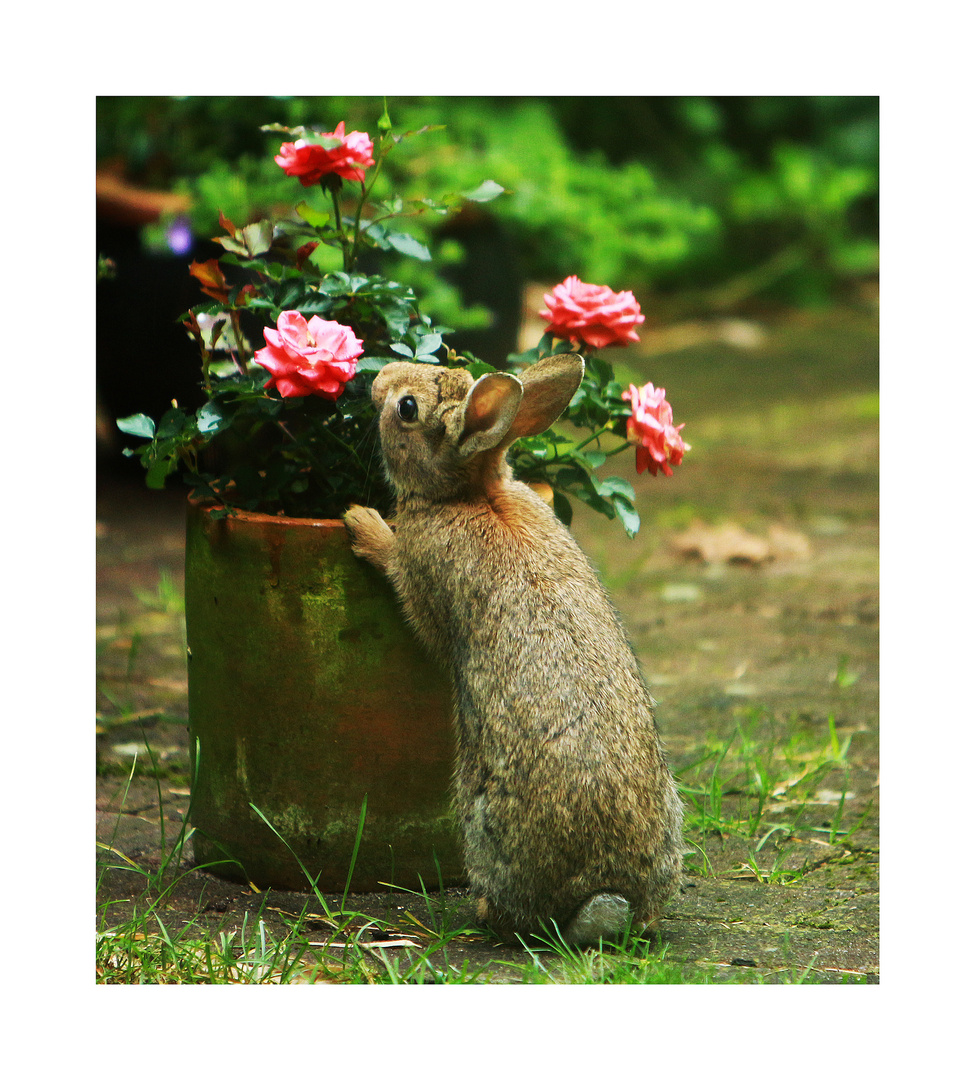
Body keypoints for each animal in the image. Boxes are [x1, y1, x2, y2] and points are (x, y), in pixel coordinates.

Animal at [345, 354, 686, 946]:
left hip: (481, 819)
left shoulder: (421, 578)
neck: (470, 494)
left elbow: (399, 572)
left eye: (407, 408)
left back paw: (485, 913)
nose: (379, 377)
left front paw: (362, 523)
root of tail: (603, 896)